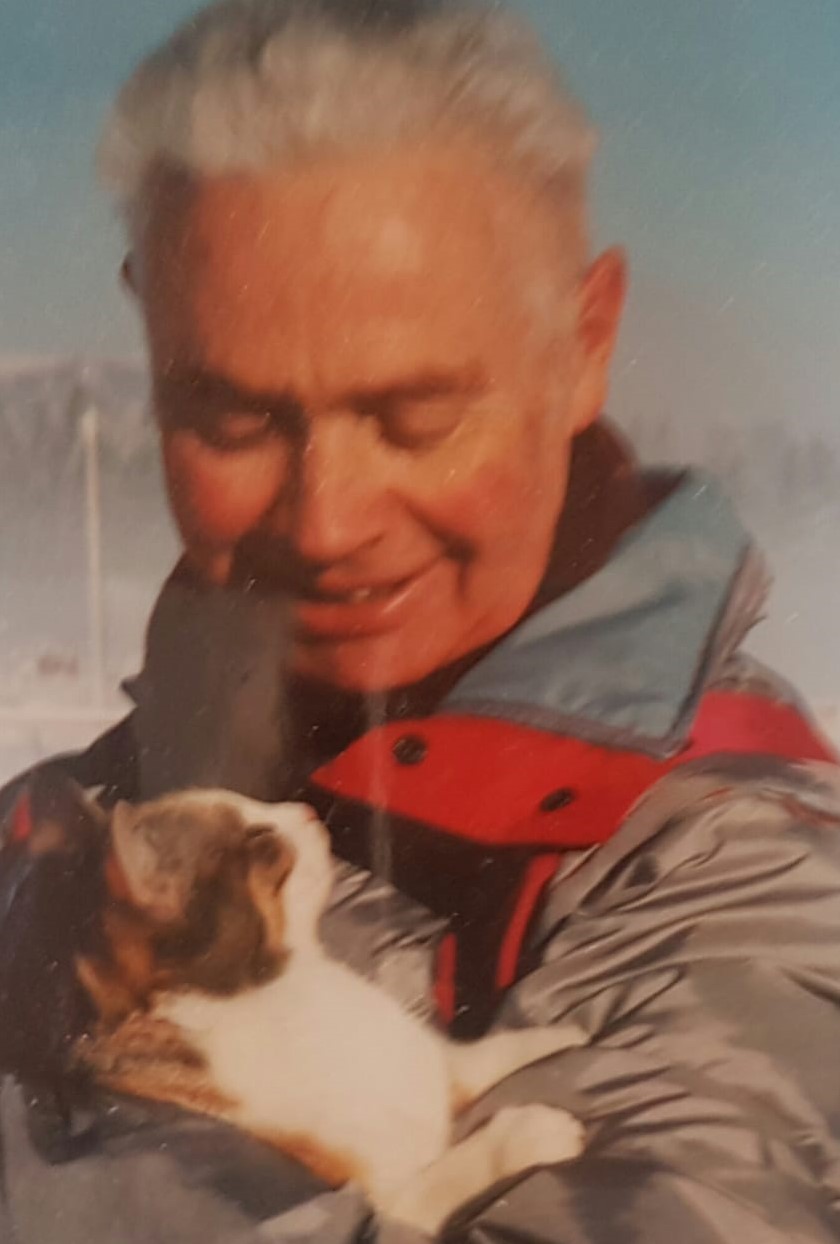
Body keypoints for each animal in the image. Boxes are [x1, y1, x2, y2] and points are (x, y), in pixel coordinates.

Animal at [9, 779, 586, 1235]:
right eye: (261, 844)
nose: (304, 809)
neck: (299, 987)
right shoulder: (391, 1206)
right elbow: (459, 1167)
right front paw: (538, 1129)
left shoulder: (441, 1069)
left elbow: (496, 1049)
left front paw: (571, 1035)